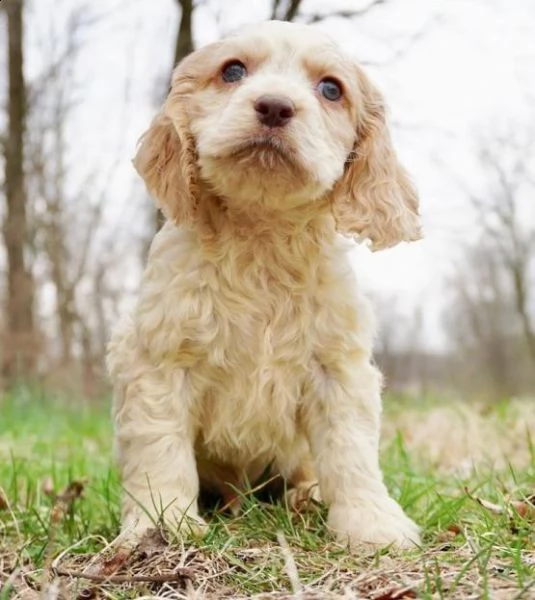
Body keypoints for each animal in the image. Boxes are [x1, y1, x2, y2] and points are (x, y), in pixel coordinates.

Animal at [108, 21, 422, 552]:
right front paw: (163, 522)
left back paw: (305, 498)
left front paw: (372, 523)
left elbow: (351, 451)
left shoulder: (338, 368)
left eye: (331, 89)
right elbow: (161, 446)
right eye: (233, 71)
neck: (262, 236)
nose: (275, 106)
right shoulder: (161, 362)